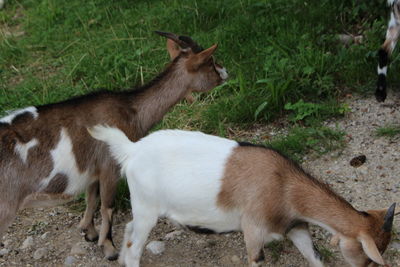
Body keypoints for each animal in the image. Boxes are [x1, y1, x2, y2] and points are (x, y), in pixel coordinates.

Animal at [0, 30, 227, 260]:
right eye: (210, 62)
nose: (225, 72)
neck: (132, 111)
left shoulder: (94, 170)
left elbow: (92, 199)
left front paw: (89, 232)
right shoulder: (111, 166)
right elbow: (108, 206)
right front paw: (109, 248)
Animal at [88, 126, 396, 267]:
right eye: (368, 255)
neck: (284, 185)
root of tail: (131, 150)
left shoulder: (295, 226)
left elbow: (315, 257)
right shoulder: (254, 231)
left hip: (144, 209)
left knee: (129, 231)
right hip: (146, 206)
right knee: (134, 244)